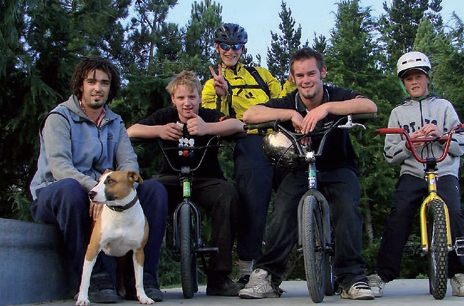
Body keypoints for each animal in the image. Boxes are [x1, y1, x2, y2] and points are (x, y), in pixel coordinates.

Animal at [76, 171, 154, 304]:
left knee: (119, 270)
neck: (121, 212)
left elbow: (139, 279)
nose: (91, 194)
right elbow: (85, 277)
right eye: (98, 181)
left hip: (122, 255)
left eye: (111, 181)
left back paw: (122, 289)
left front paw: (143, 297)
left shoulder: (138, 252)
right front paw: (82, 298)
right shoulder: (92, 248)